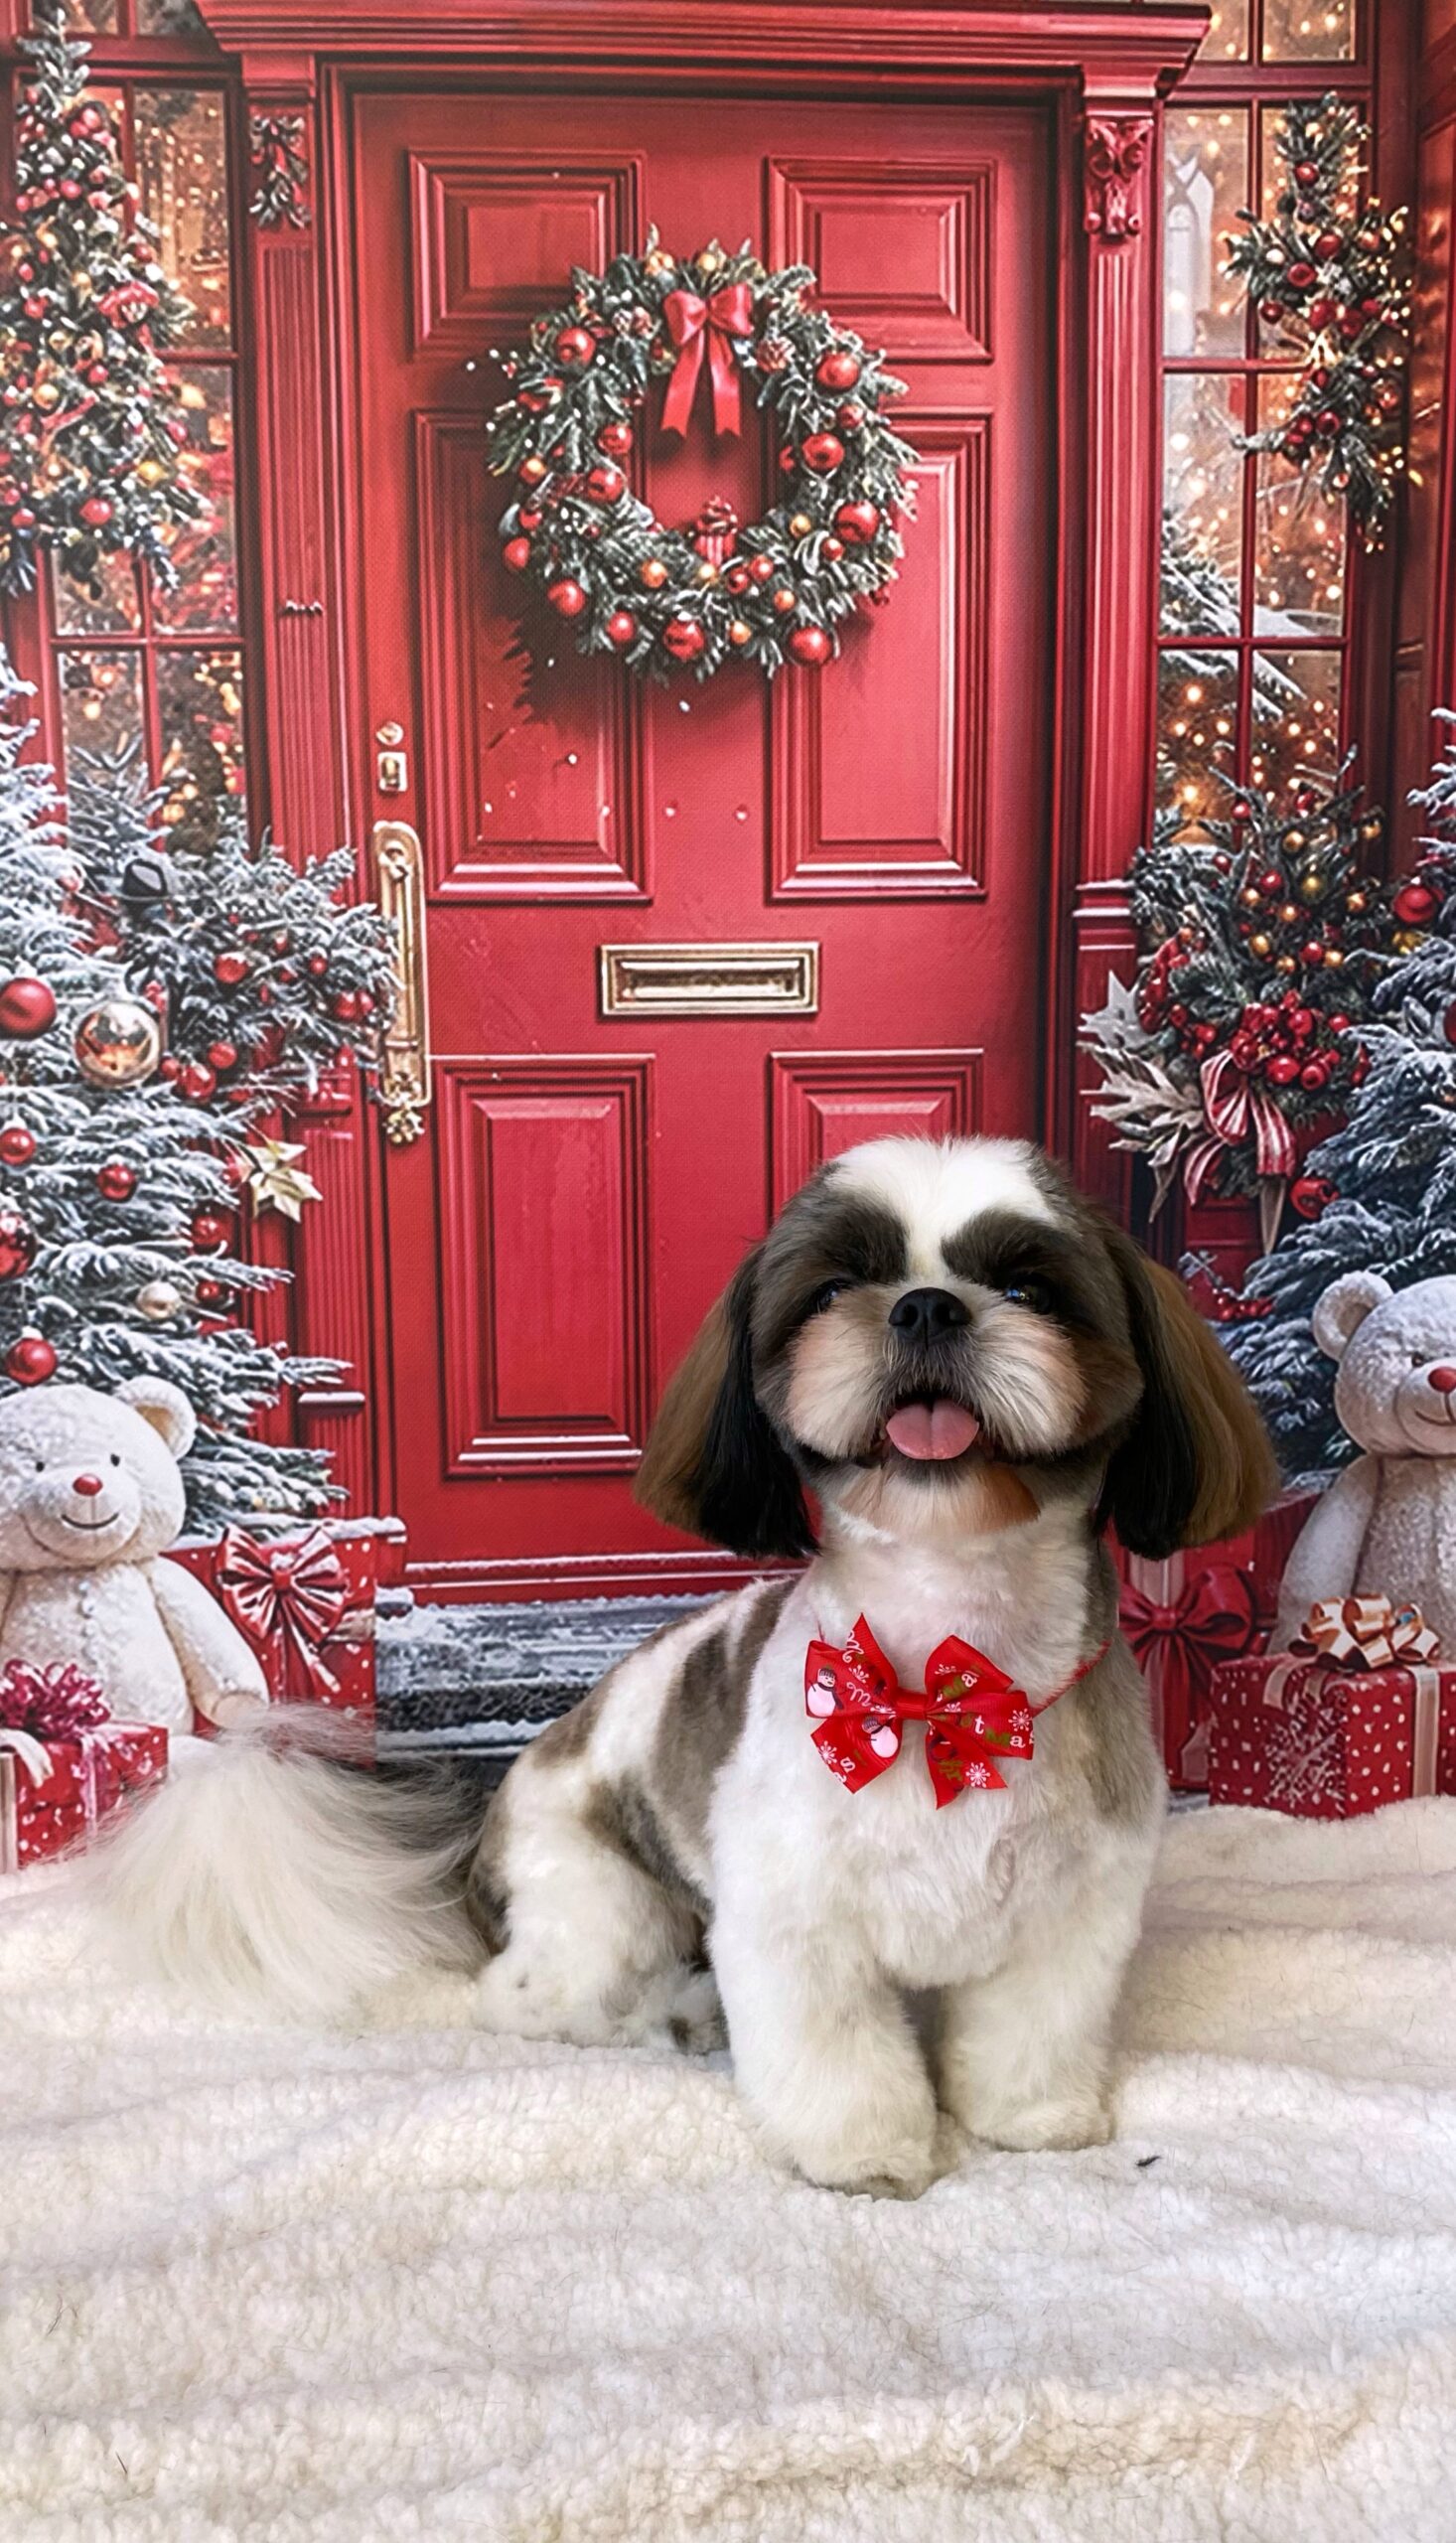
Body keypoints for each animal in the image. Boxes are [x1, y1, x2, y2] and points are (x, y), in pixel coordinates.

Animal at [95, 1135, 1273, 2198]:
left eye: (1030, 1285)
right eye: (834, 1287)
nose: (926, 1307)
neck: (949, 1673)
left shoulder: (1070, 1914)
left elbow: (1033, 2030)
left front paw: (1033, 2122)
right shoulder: (793, 1920)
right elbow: (836, 2057)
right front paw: (868, 2156)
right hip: (603, 1905)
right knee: (531, 1998)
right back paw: (675, 2014)